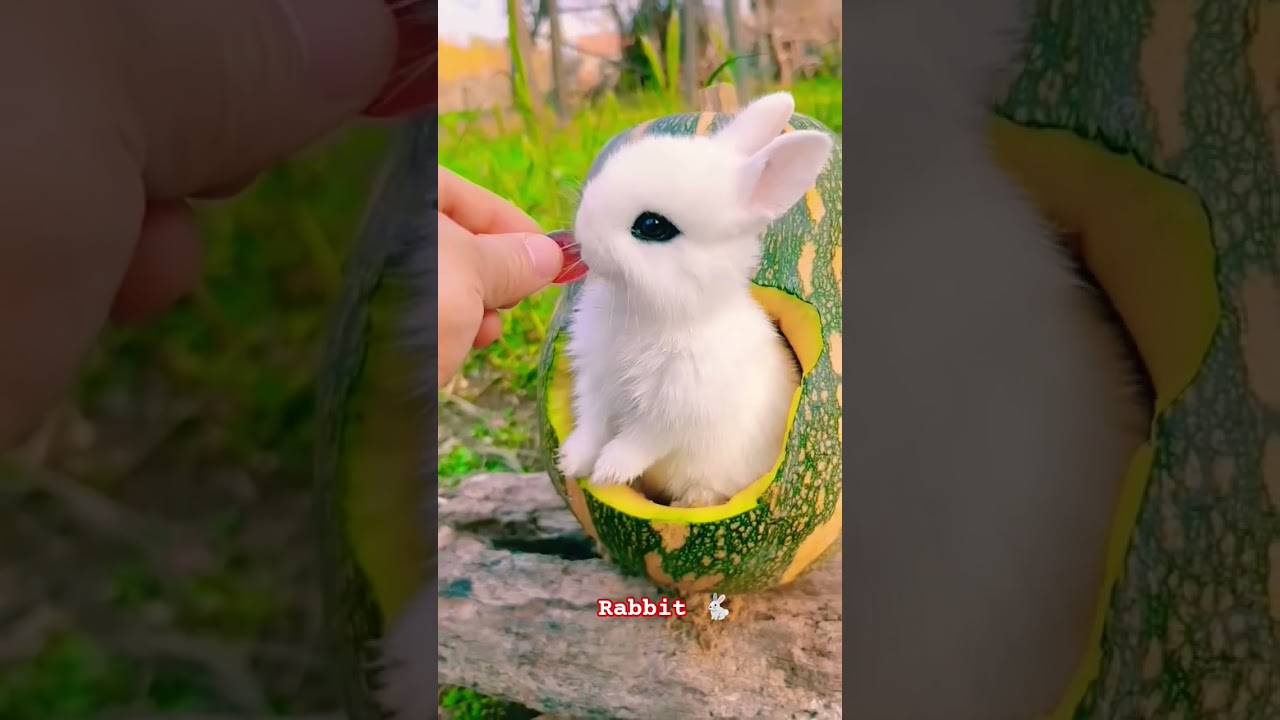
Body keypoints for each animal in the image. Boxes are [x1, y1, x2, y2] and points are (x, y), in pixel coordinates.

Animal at [555, 92, 834, 509]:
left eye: (652, 226)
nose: (584, 234)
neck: (651, 312)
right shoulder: (597, 383)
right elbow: (592, 421)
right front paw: (572, 460)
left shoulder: (679, 408)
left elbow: (642, 439)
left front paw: (609, 470)